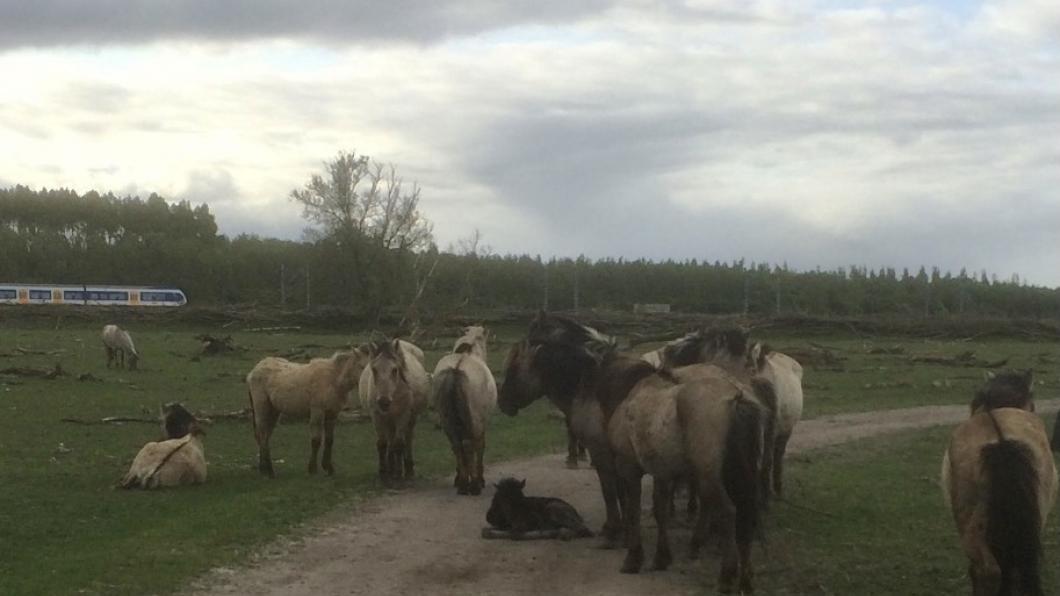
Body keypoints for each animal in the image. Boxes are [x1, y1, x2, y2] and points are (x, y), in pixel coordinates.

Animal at [430, 324, 496, 492]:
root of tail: (456, 368)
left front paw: (459, 475)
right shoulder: (482, 423)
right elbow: (480, 446)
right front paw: (480, 478)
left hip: (447, 420)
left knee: (456, 445)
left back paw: (462, 481)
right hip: (475, 421)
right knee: (469, 446)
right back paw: (474, 484)